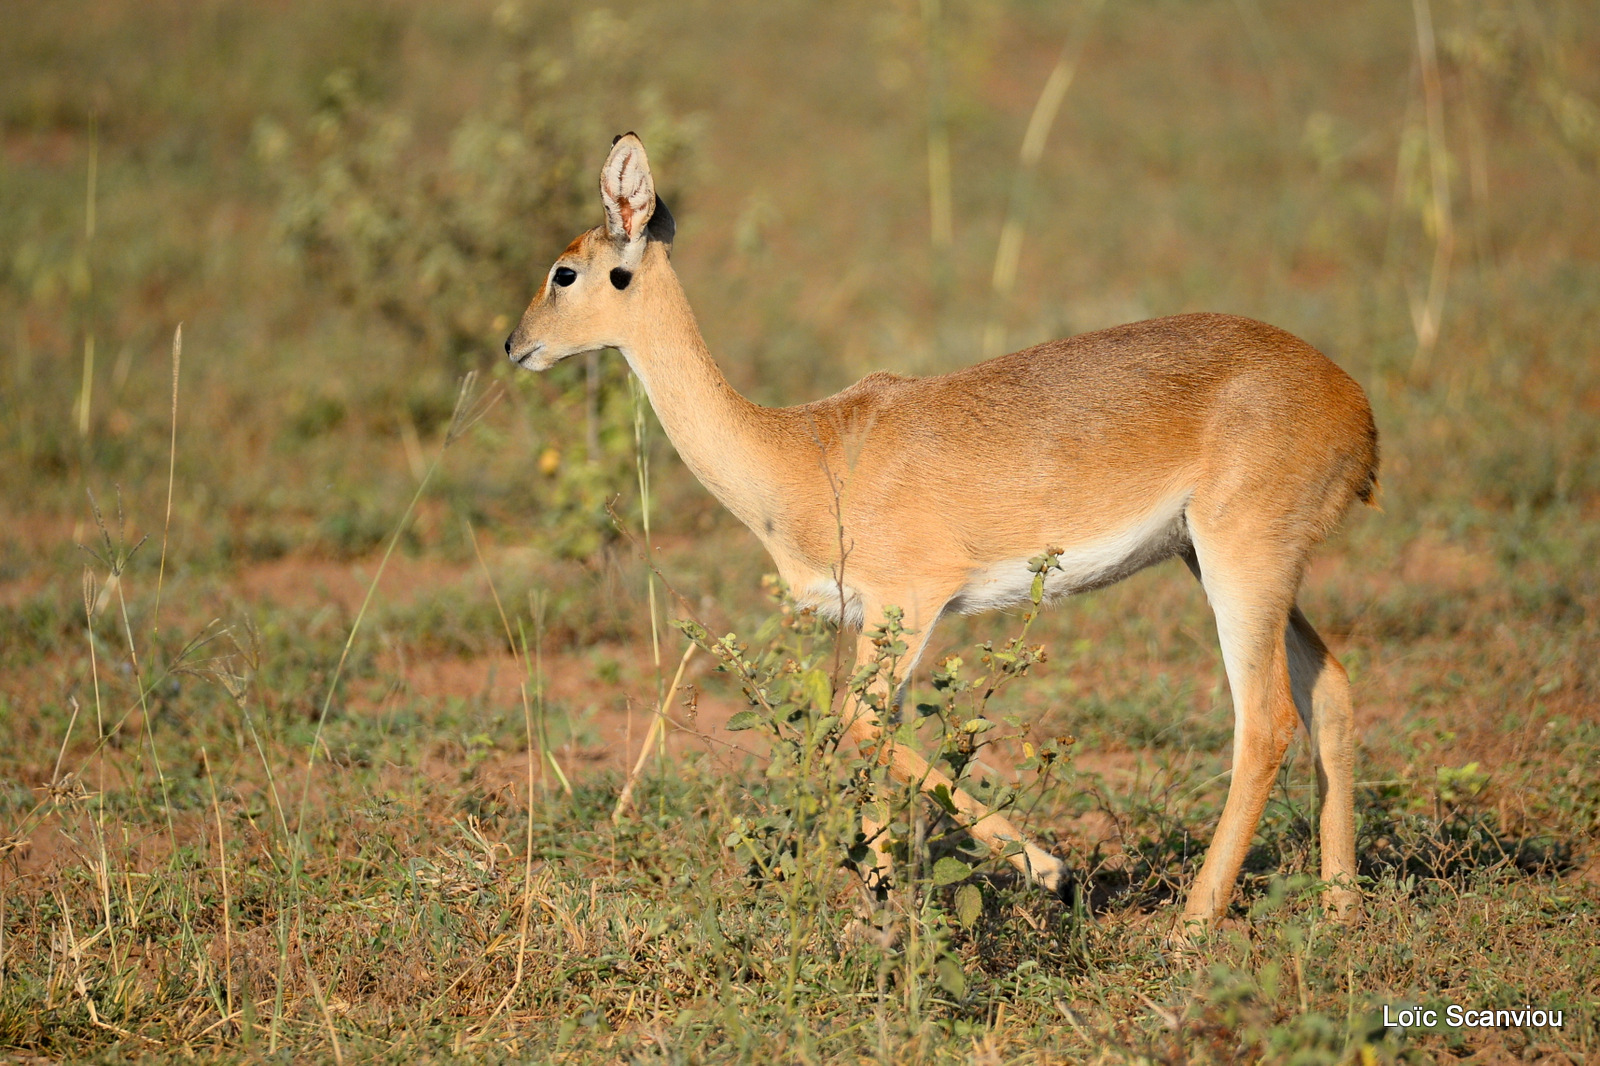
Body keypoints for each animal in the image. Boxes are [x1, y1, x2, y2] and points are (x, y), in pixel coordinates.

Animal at [508, 130, 1376, 928]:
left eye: (564, 270)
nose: (515, 346)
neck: (805, 450)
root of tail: (1354, 405)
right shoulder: (876, 624)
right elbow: (870, 739)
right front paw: (883, 912)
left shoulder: (911, 602)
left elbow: (856, 725)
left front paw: (1054, 871)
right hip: (1218, 559)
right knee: (1330, 689)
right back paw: (1338, 912)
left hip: (1240, 561)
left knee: (1265, 723)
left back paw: (1189, 930)